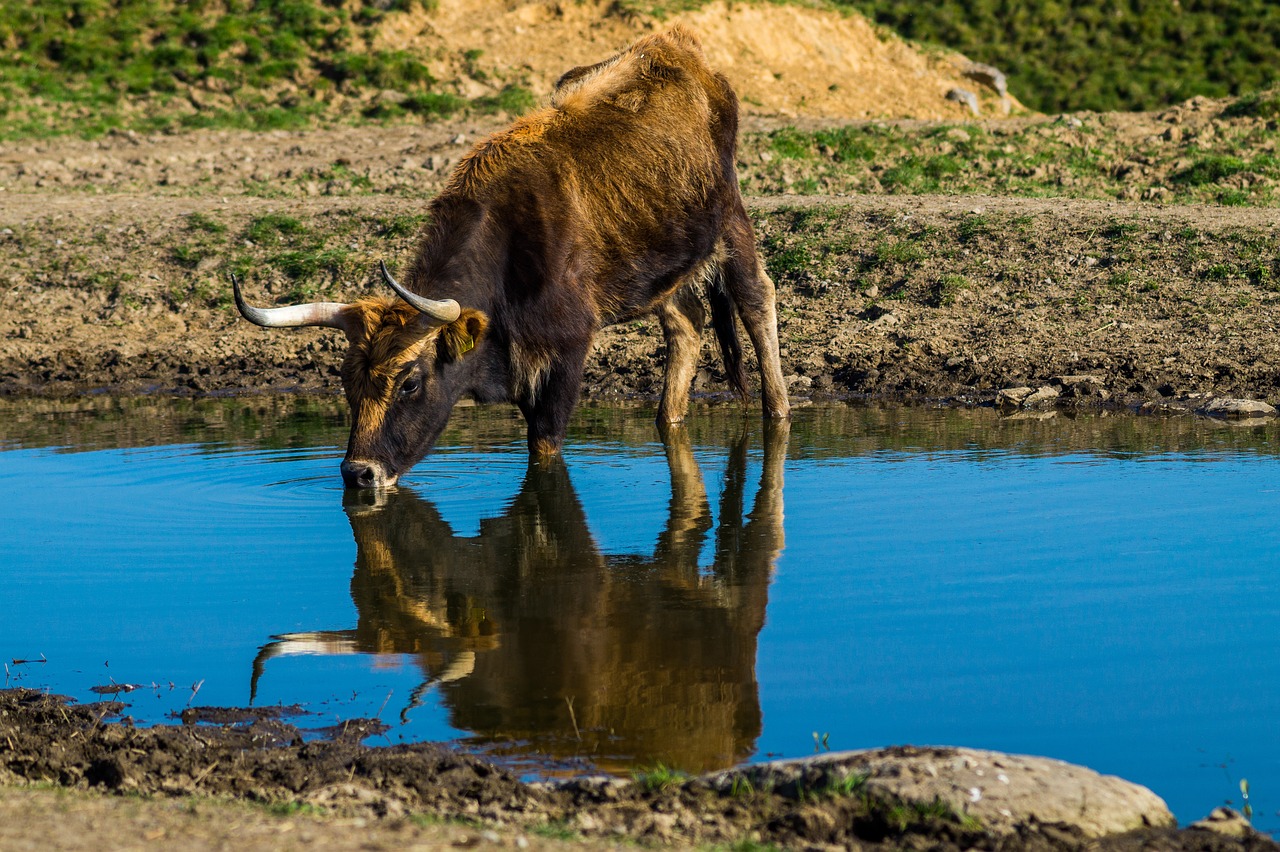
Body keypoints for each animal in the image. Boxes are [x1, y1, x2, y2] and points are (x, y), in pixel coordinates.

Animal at [234, 24, 783, 483]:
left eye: (409, 383)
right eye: (347, 382)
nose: (358, 473)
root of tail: (676, 47)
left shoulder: (565, 354)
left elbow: (544, 448)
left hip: (731, 219)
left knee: (757, 298)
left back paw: (778, 412)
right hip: (662, 259)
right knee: (686, 322)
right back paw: (668, 416)